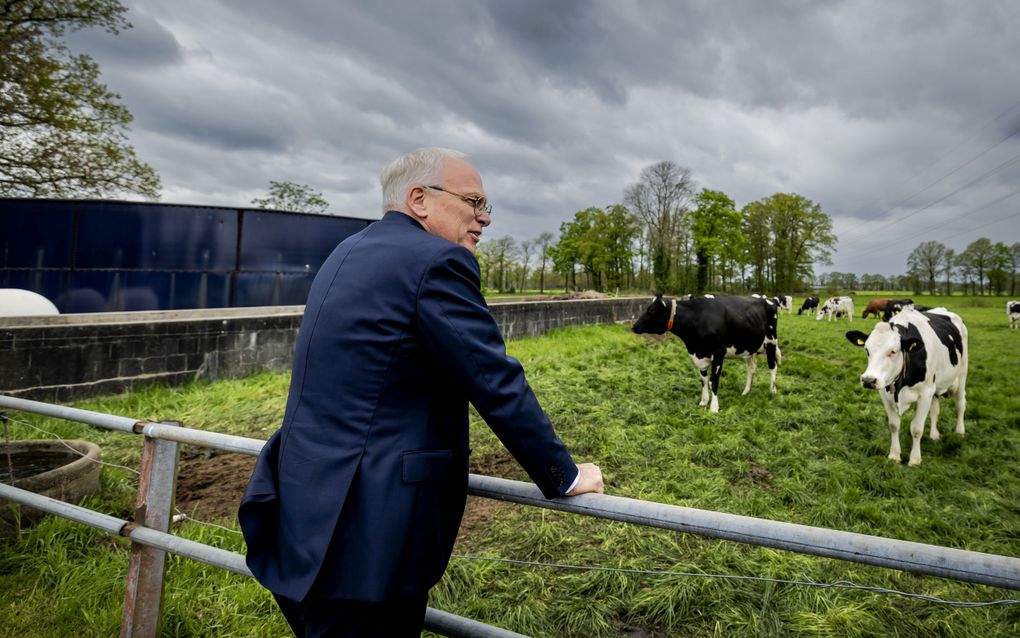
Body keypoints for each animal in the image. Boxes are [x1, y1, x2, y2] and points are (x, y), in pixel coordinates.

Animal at [628, 293, 779, 412]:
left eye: (652, 310)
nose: (634, 327)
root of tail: (766, 299)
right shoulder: (699, 355)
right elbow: (704, 380)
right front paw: (703, 402)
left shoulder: (719, 353)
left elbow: (714, 381)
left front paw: (714, 408)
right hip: (749, 347)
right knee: (751, 368)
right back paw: (746, 392)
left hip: (771, 341)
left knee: (772, 366)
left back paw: (773, 391)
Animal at [848, 306, 966, 465]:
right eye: (867, 350)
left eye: (893, 351)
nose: (868, 380)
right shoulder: (885, 393)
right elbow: (893, 425)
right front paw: (894, 455)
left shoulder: (925, 393)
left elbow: (916, 429)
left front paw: (915, 460)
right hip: (935, 387)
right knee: (935, 409)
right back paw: (934, 435)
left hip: (962, 374)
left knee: (960, 404)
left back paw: (960, 432)